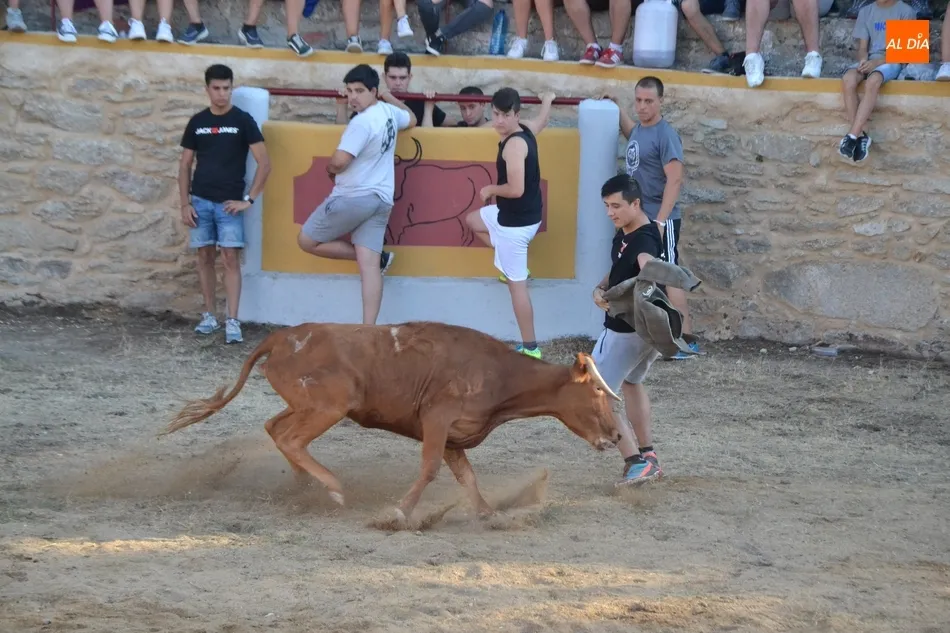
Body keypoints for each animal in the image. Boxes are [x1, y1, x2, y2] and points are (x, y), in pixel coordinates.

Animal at [160, 321, 622, 526]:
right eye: (599, 394)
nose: (618, 435)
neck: (499, 375)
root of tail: (282, 337)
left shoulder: (454, 437)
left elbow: (467, 478)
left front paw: (489, 514)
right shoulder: (437, 421)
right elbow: (430, 469)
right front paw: (399, 512)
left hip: (305, 405)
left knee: (275, 429)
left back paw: (304, 487)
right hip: (328, 407)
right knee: (290, 438)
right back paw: (332, 488)